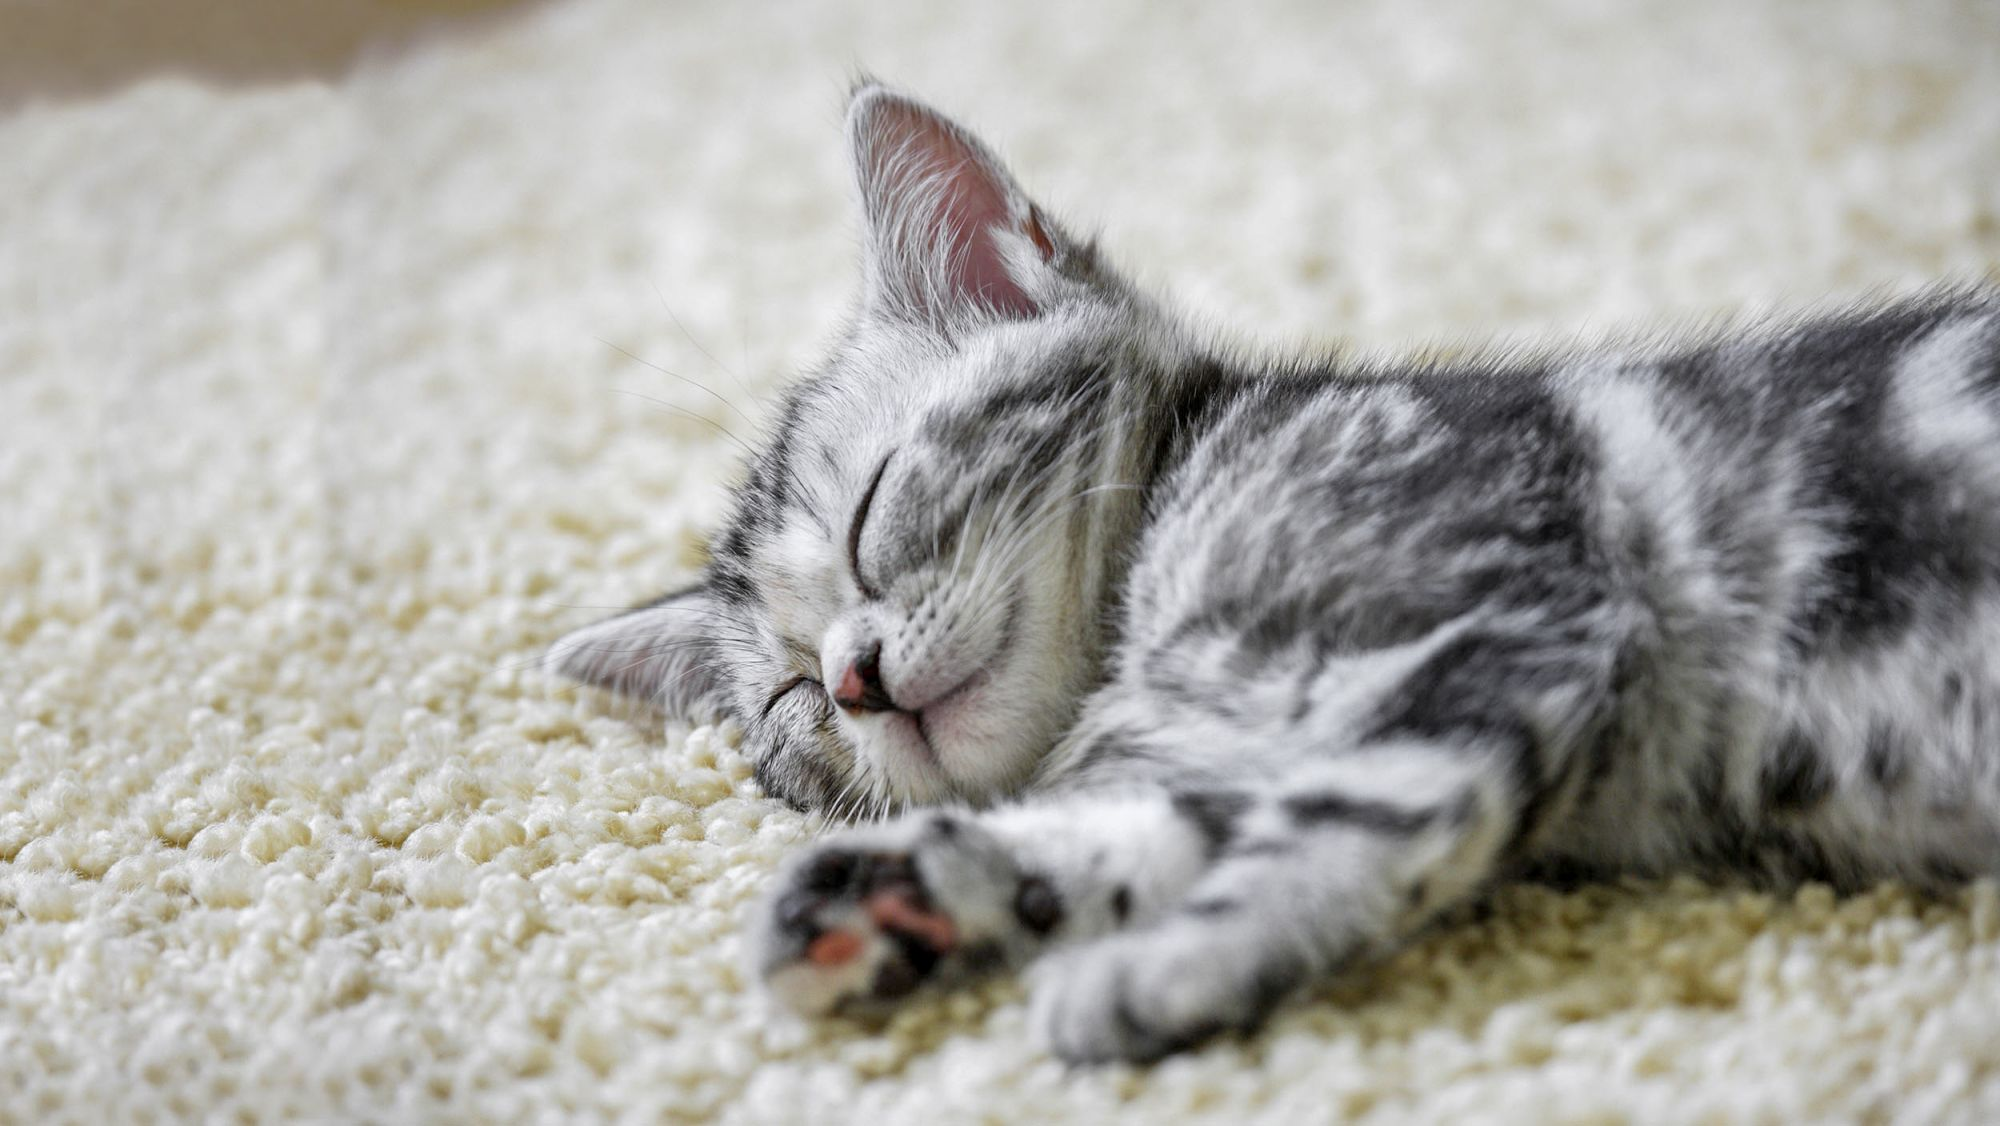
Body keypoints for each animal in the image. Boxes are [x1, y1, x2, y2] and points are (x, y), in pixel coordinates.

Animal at [552, 83, 2000, 1064]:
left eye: (868, 514)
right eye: (788, 700)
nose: (851, 678)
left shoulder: (1492, 612)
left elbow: (1356, 815)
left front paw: (1169, 963)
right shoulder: (1239, 744)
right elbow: (1130, 834)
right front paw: (911, 897)